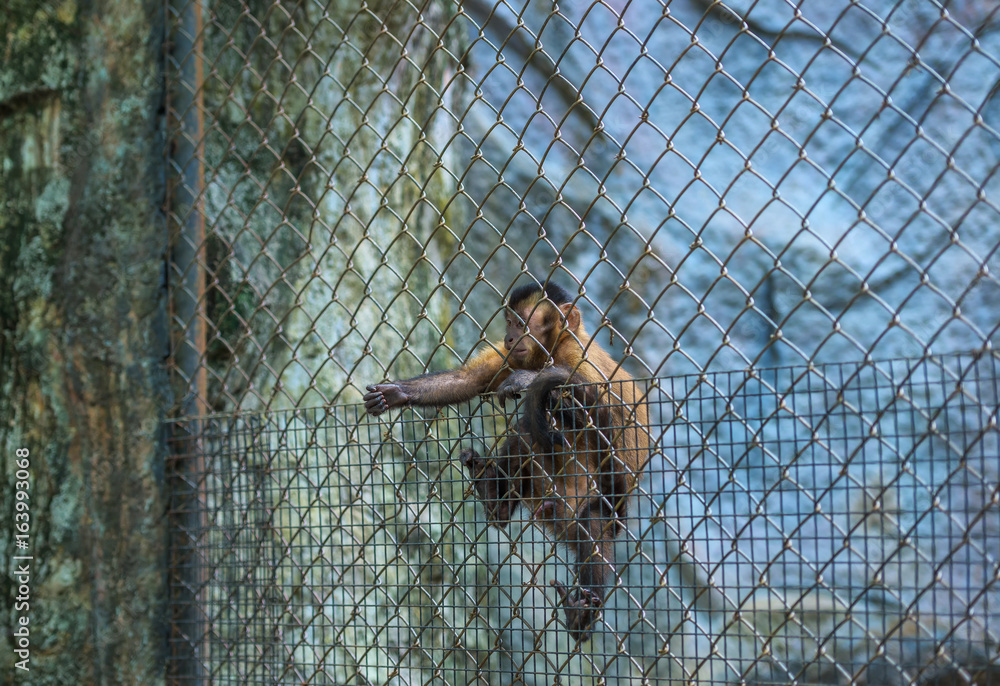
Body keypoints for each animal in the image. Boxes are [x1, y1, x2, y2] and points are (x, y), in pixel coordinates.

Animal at [362, 280, 648, 640]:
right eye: (509, 323)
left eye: (521, 324)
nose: (511, 337)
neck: (553, 351)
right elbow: (469, 381)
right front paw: (397, 393)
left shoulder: (578, 357)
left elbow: (603, 415)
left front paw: (530, 381)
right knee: (524, 434)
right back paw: (495, 503)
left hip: (586, 494)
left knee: (593, 515)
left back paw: (582, 614)